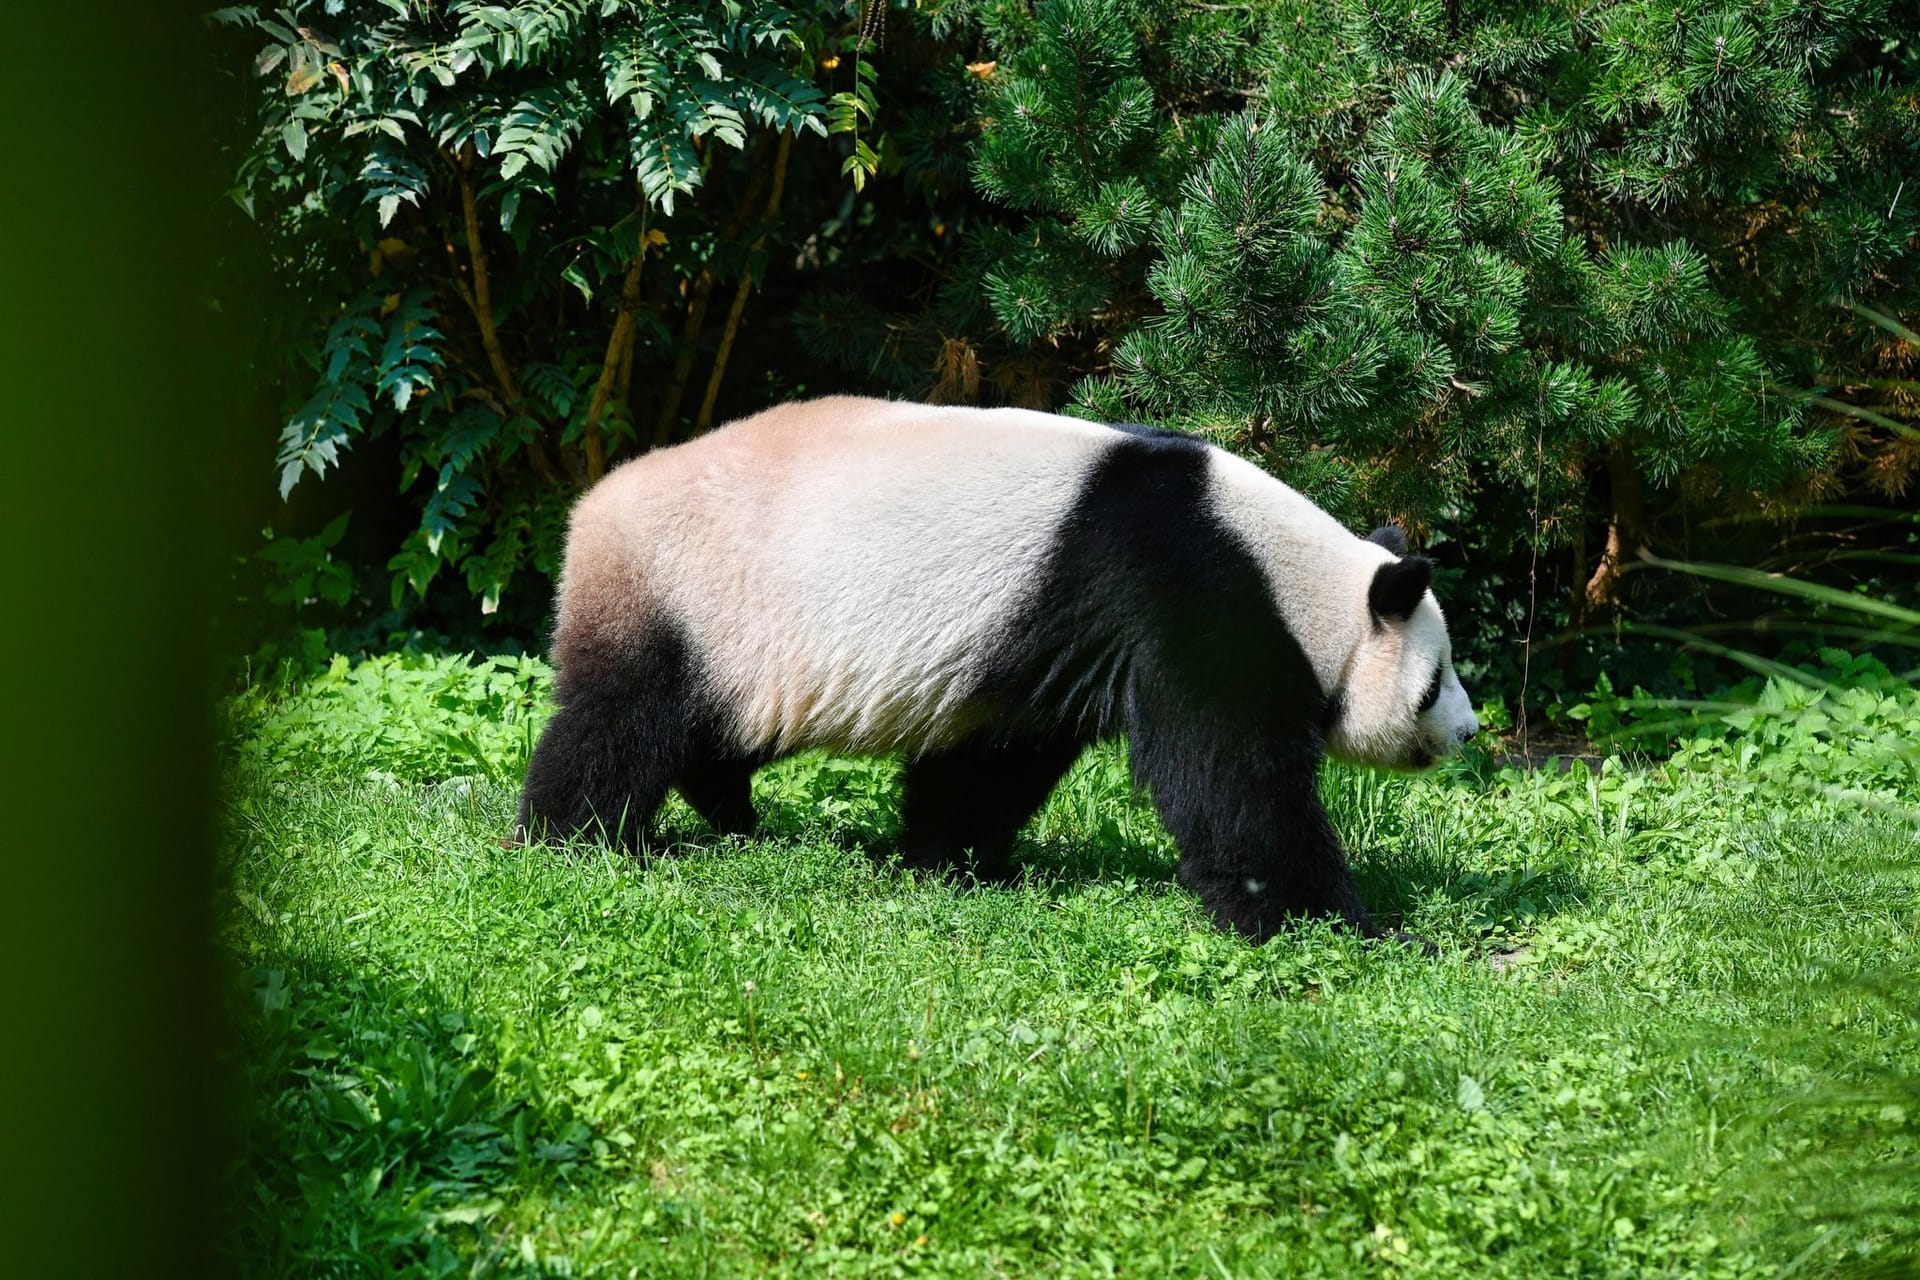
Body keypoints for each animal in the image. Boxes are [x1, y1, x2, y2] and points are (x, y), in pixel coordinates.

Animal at [518, 395, 1474, 948]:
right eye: (1434, 682)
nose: (1467, 733)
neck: (1301, 579)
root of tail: (591, 506)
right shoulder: (1190, 594)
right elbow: (1232, 780)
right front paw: (1351, 929)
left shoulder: (1042, 640)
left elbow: (996, 756)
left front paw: (953, 862)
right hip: (689, 590)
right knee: (621, 721)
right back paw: (573, 840)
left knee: (716, 729)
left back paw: (729, 810)